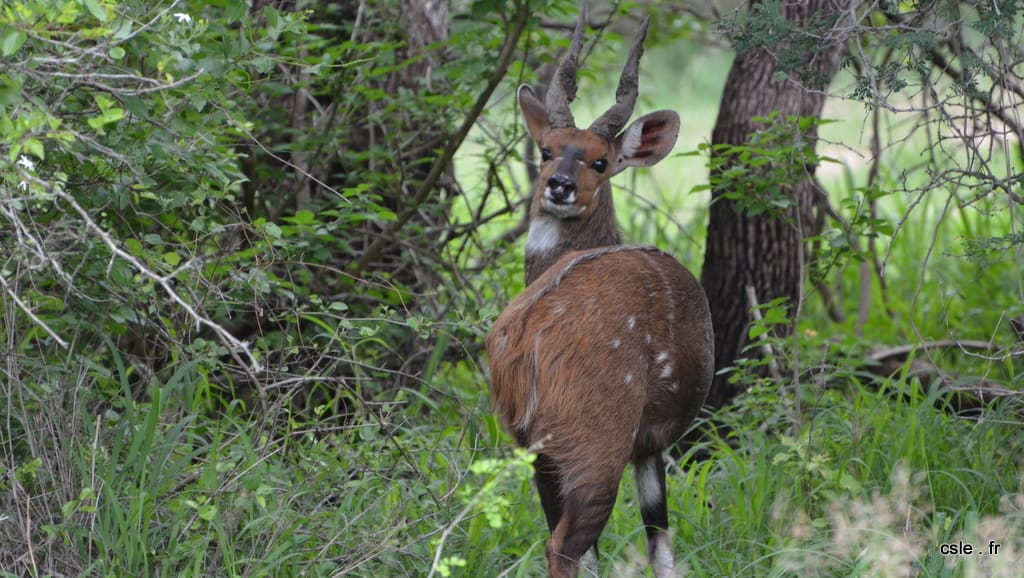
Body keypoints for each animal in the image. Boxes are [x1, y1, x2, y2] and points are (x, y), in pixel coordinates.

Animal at [485, 13, 712, 578]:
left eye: (600, 162)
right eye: (546, 150)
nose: (559, 185)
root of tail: (525, 342)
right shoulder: (651, 442)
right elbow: (661, 544)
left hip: (538, 452)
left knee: (568, 544)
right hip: (596, 445)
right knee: (565, 546)